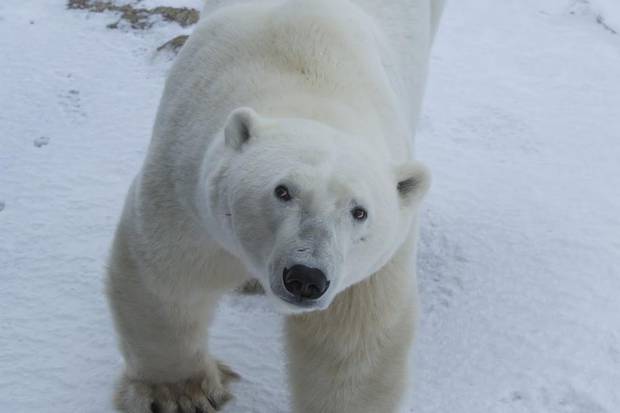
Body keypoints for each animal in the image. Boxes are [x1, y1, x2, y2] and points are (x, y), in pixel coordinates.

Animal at [108, 0, 446, 410]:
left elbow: (350, 340)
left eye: (359, 212)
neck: (311, 82)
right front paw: (182, 394)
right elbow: (166, 278)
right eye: (282, 191)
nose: (306, 278)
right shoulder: (187, 188)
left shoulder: (375, 261)